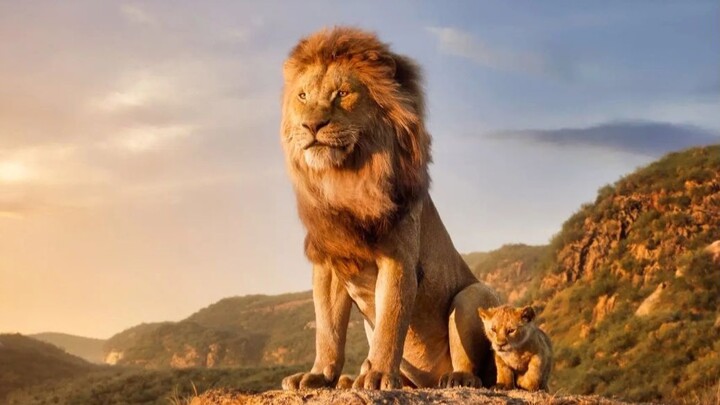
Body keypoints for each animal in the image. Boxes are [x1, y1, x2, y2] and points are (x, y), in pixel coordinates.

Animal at [279, 26, 501, 390]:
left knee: (476, 368)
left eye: (342, 93)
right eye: (302, 96)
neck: (345, 180)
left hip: (473, 295)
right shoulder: (329, 263)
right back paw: (349, 379)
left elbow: (391, 322)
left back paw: (456, 378)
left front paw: (379, 375)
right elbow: (327, 329)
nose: (312, 125)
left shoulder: (399, 259)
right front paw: (319, 375)